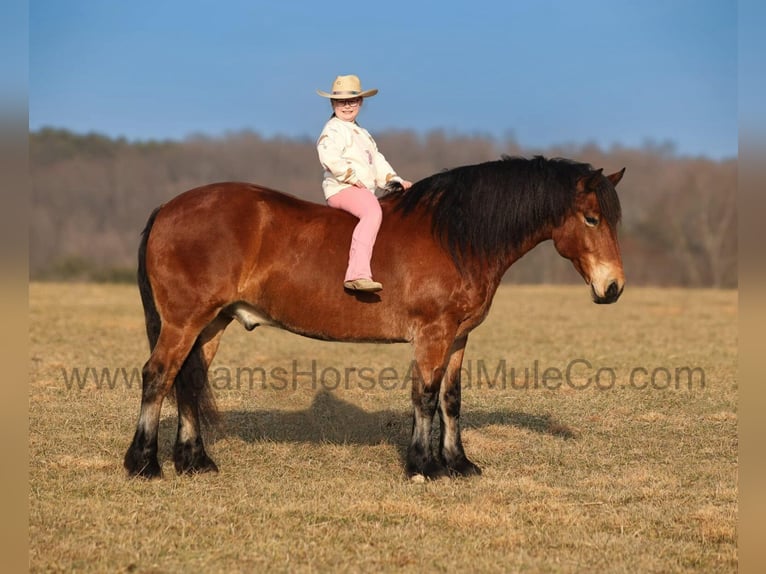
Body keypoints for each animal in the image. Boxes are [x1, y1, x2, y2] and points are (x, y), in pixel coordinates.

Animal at [124, 155, 625, 480]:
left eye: (612, 219)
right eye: (592, 218)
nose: (613, 288)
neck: (454, 235)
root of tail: (169, 208)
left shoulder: (458, 338)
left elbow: (451, 399)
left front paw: (459, 464)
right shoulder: (432, 335)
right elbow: (424, 397)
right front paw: (423, 466)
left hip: (210, 324)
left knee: (188, 379)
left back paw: (195, 462)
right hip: (185, 321)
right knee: (158, 375)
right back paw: (144, 464)